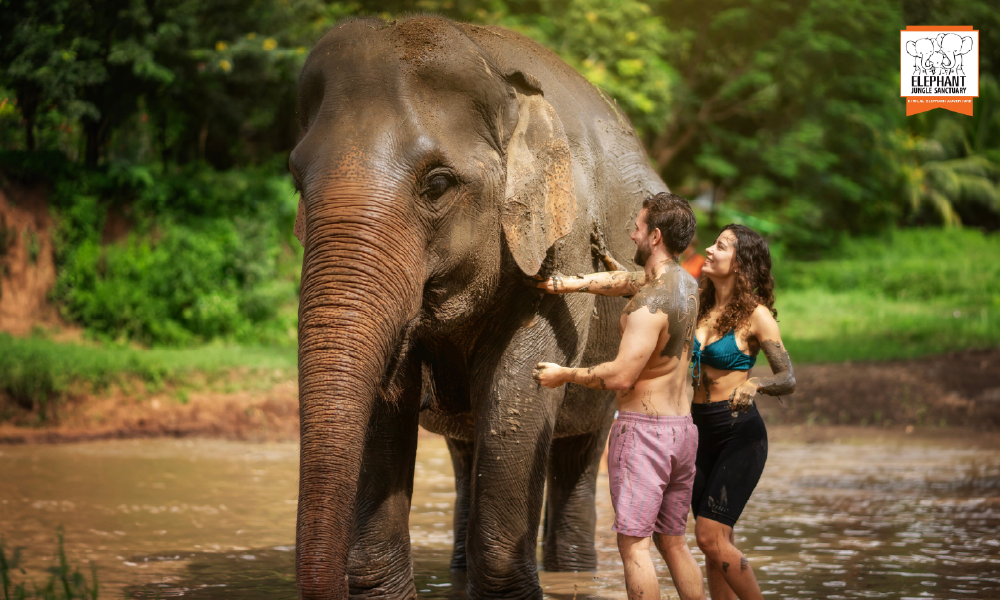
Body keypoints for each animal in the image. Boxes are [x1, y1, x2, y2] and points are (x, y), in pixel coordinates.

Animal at [289, 15, 668, 599]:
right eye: (296, 180)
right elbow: (385, 398)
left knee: (580, 453)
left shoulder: (564, 235)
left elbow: (521, 383)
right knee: (467, 451)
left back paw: (572, 571)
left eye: (438, 183)